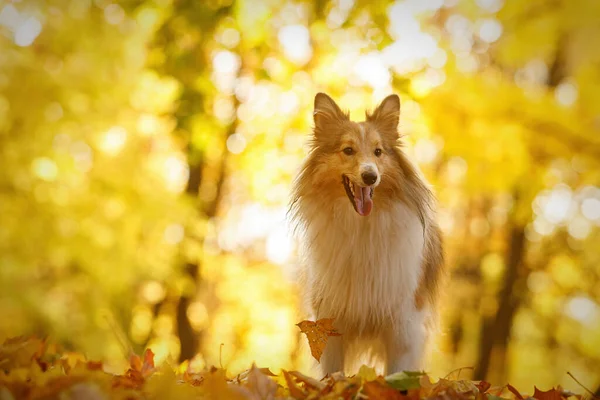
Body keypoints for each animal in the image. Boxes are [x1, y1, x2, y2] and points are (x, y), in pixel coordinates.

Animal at [288, 92, 442, 376]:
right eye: (348, 150)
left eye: (378, 152)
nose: (370, 176)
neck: (361, 227)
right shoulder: (331, 318)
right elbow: (332, 371)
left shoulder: (404, 323)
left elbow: (396, 372)